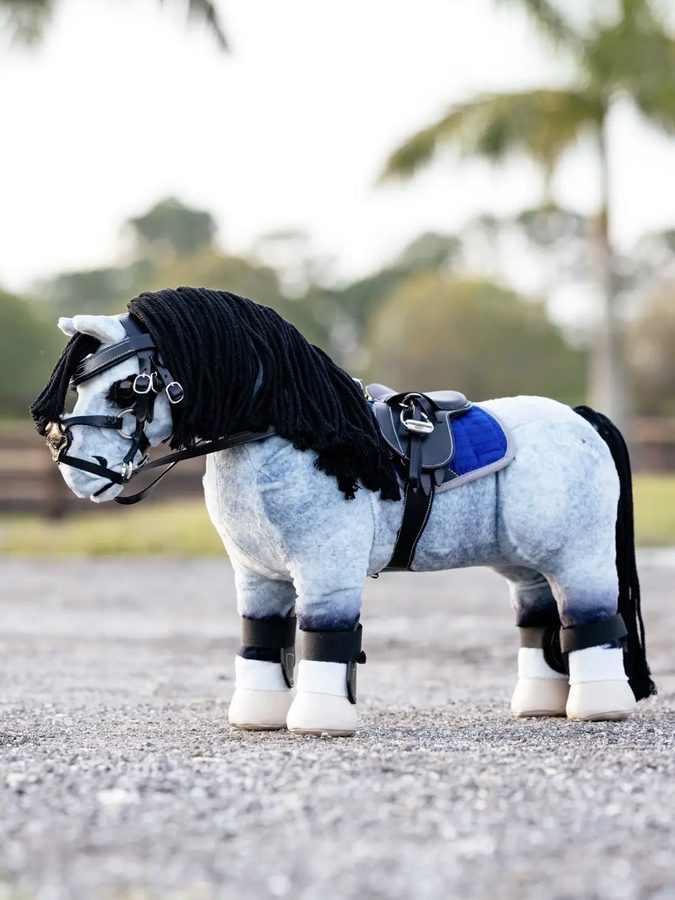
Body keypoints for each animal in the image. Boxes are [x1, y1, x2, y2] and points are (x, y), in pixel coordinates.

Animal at [31, 286, 655, 737]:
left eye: (126, 389)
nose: (76, 469)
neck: (292, 433)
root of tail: (578, 417)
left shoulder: (326, 570)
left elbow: (323, 637)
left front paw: (318, 722)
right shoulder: (257, 576)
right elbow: (262, 637)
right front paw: (258, 717)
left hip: (579, 555)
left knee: (590, 620)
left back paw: (598, 707)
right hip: (525, 563)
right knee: (539, 618)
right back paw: (539, 706)